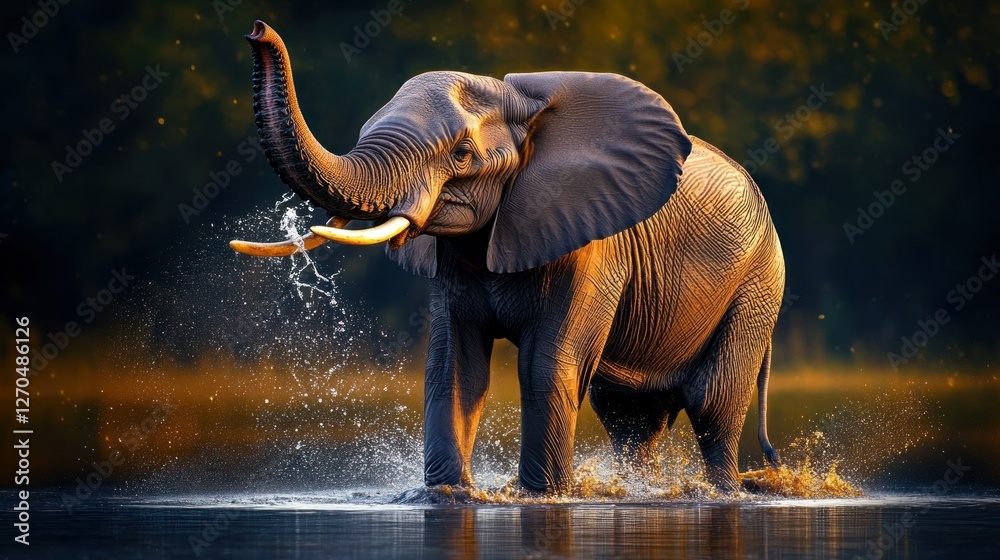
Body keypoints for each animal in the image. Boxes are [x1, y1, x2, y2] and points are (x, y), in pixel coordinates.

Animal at [231, 20, 784, 492]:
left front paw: (543, 496)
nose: (256, 30)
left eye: (461, 154)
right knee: (629, 417)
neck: (520, 103)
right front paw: (449, 494)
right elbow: (452, 367)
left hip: (757, 285)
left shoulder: (590, 247)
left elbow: (545, 367)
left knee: (711, 403)